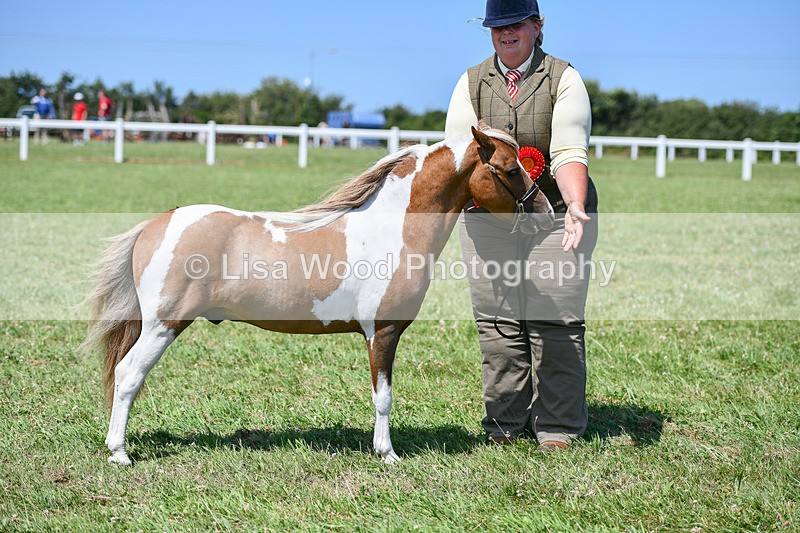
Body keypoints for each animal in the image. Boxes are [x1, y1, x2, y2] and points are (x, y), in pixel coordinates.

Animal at [83, 125, 555, 466]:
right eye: (512, 169)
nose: (547, 213)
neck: (392, 228)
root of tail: (157, 224)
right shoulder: (382, 332)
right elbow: (383, 397)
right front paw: (387, 453)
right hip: (162, 326)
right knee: (128, 375)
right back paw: (120, 453)